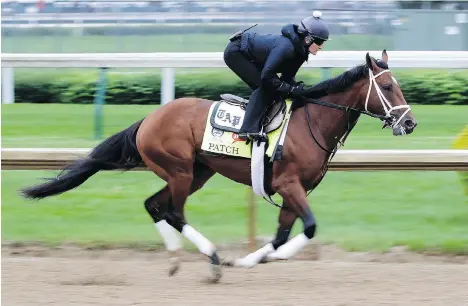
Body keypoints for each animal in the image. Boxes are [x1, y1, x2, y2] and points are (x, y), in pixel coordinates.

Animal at [21, 50, 416, 282]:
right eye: (386, 87)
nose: (410, 123)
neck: (313, 124)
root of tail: (149, 118)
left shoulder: (295, 190)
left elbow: (282, 234)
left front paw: (250, 261)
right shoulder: (289, 185)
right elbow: (310, 228)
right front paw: (263, 259)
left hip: (196, 172)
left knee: (153, 205)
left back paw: (176, 260)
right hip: (180, 170)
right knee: (173, 212)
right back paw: (211, 259)